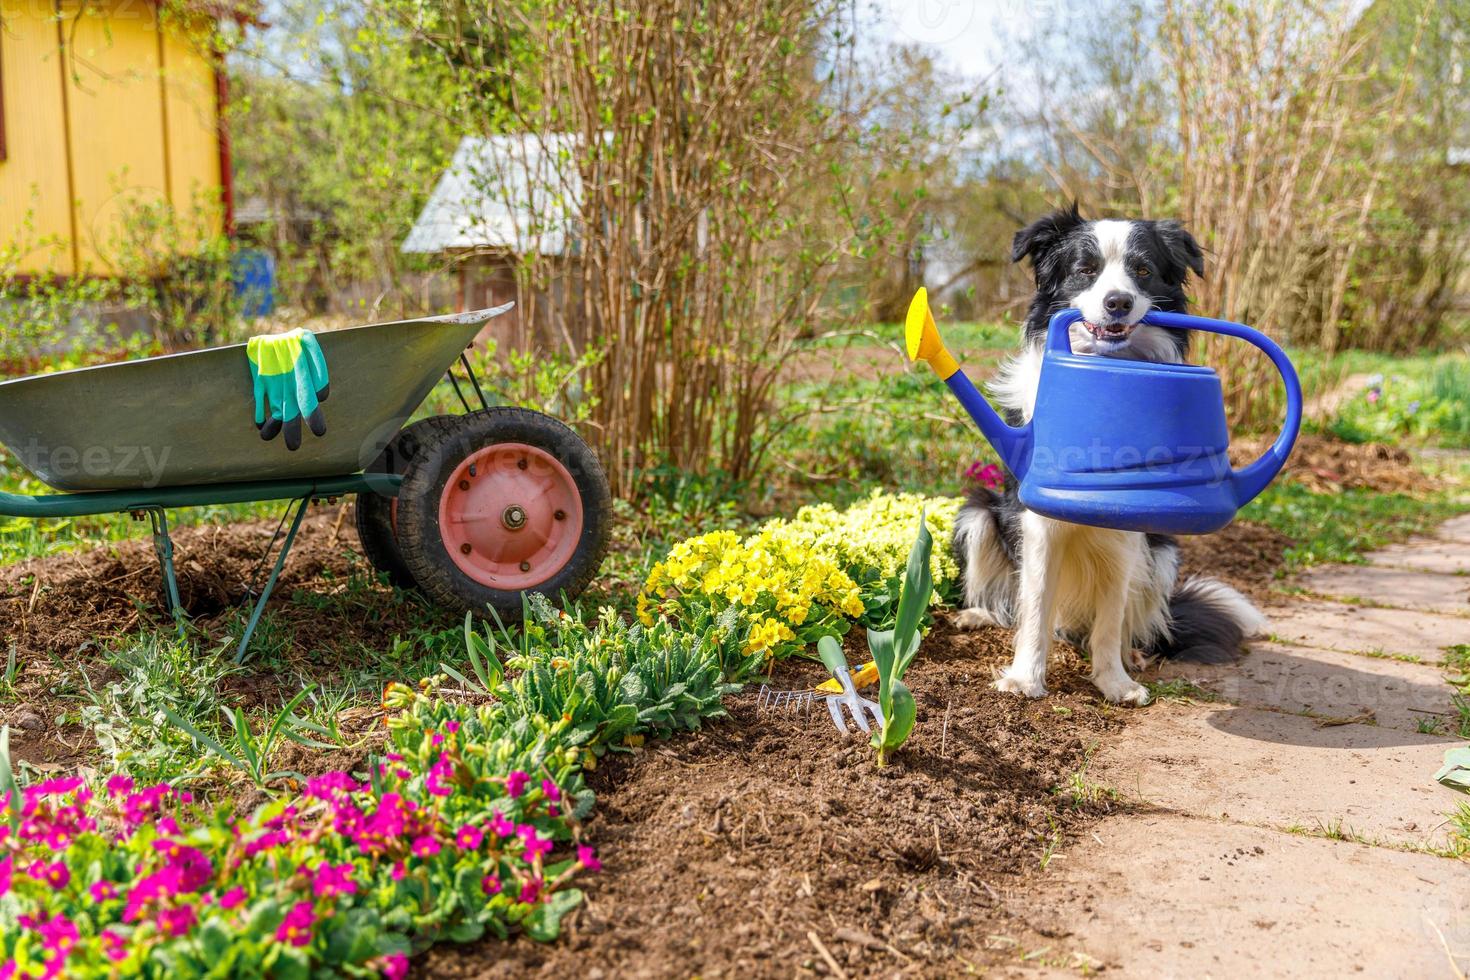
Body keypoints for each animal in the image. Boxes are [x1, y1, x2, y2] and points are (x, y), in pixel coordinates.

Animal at [952, 205, 1264, 705]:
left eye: (1143, 271)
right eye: (1086, 270)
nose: (1118, 302)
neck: (1105, 359)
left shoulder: (1130, 528)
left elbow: (1112, 614)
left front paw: (1114, 682)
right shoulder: (1034, 520)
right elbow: (1034, 604)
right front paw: (1025, 679)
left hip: (1163, 554)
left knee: (1128, 619)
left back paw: (1131, 654)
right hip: (978, 514)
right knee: (1009, 600)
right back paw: (979, 615)